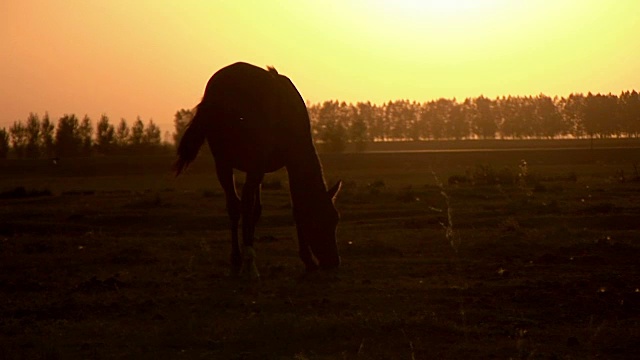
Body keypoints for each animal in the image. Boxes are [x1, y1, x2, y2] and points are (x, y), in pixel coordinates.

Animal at [172, 62, 342, 278]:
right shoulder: (273, 165)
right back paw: (249, 264)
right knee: (243, 204)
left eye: (335, 219)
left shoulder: (259, 169)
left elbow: (257, 209)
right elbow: (293, 207)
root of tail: (220, 91)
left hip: (224, 162)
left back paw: (237, 261)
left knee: (235, 205)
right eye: (321, 220)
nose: (333, 262)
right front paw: (308, 260)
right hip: (250, 164)